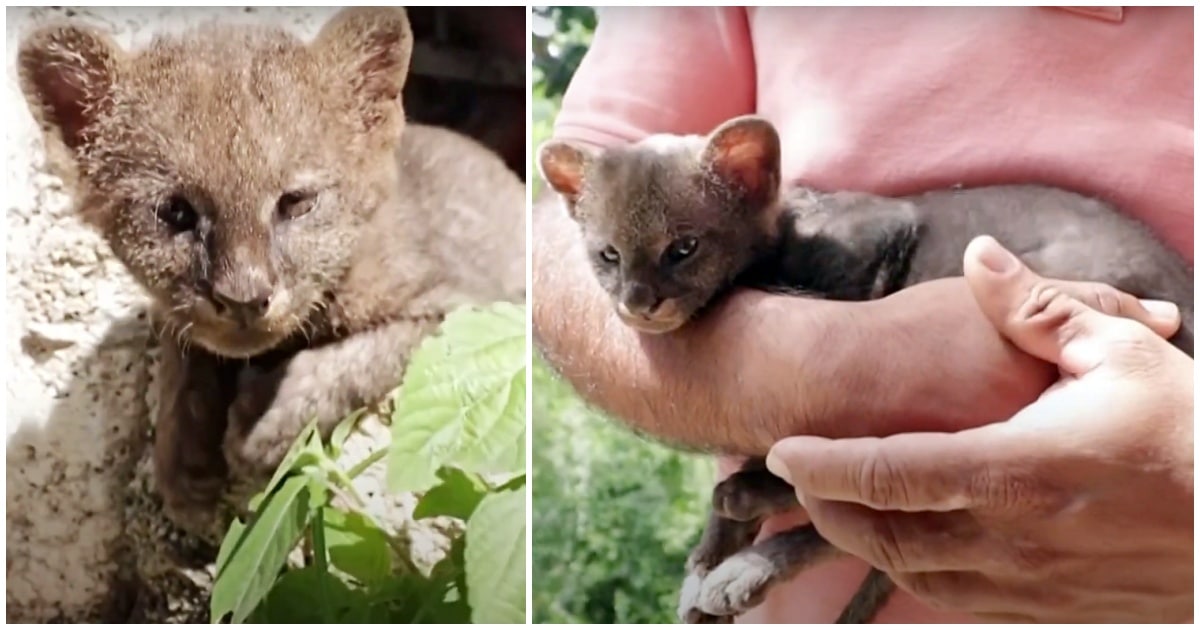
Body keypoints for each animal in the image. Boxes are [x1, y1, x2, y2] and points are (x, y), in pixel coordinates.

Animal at [542, 115, 1190, 619]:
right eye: (608, 255)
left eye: (683, 248)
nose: (638, 302)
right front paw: (706, 557)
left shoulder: (880, 242)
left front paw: (726, 545)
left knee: (860, 519)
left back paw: (749, 547)